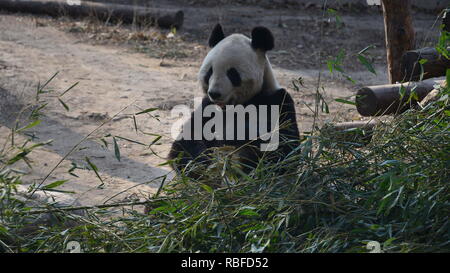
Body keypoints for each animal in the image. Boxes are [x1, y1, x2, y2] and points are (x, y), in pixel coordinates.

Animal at [168, 22, 298, 176]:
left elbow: (283, 149)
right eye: (210, 72)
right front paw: (203, 164)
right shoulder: (207, 107)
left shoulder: (277, 102)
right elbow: (185, 142)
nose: (214, 93)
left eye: (232, 74)